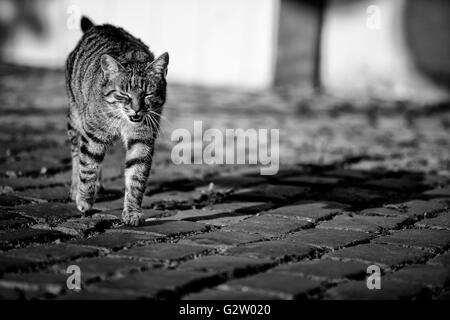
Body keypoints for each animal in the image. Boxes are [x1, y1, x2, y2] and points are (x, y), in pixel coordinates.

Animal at [64, 16, 167, 226]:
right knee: (77, 153)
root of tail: (100, 26)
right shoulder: (93, 134)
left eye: (147, 95)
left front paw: (132, 212)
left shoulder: (142, 139)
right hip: (76, 118)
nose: (136, 109)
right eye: (124, 94)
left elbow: (136, 176)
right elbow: (88, 166)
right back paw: (76, 187)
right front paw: (84, 200)